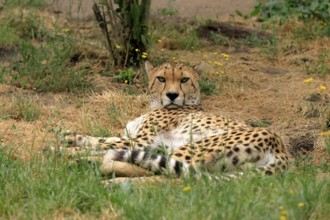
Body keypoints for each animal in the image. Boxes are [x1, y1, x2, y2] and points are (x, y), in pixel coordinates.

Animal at [62, 61, 292, 177]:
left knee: (153, 171)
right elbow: (99, 139)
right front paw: (67, 137)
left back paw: (84, 164)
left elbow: (102, 144)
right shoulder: (139, 140)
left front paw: (65, 149)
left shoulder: (141, 141)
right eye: (161, 78)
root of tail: (282, 148)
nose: (172, 95)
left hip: (192, 147)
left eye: (184, 80)